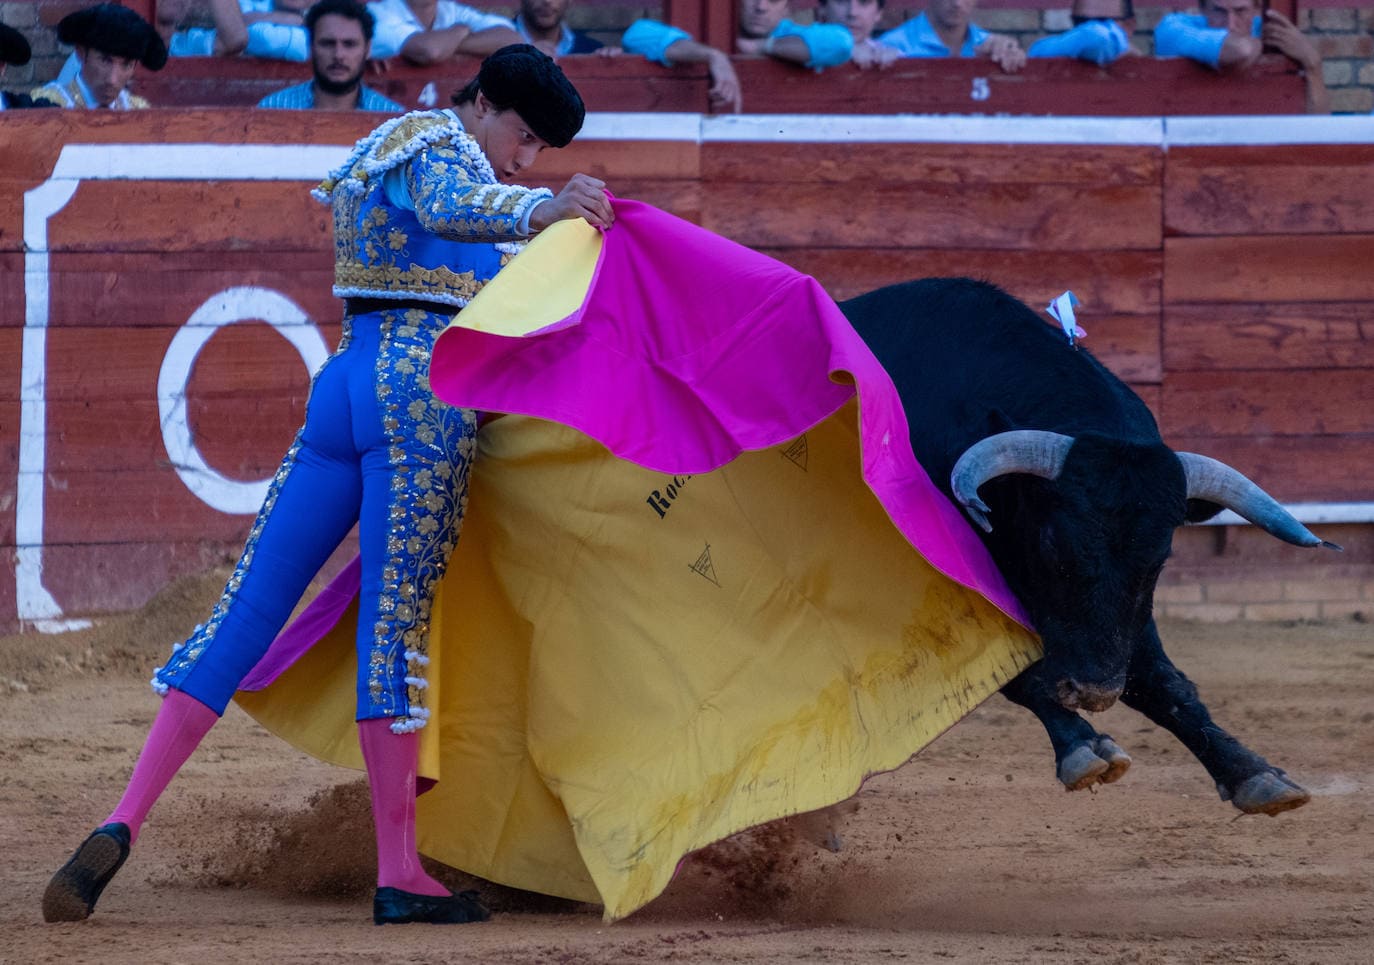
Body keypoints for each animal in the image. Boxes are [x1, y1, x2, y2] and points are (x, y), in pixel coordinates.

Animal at [840, 277, 1335, 813]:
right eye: (1052, 545)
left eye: (1159, 559)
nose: (1094, 690)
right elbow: (1015, 669)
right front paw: (1082, 746)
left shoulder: (1126, 620)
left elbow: (1161, 681)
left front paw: (1252, 772)